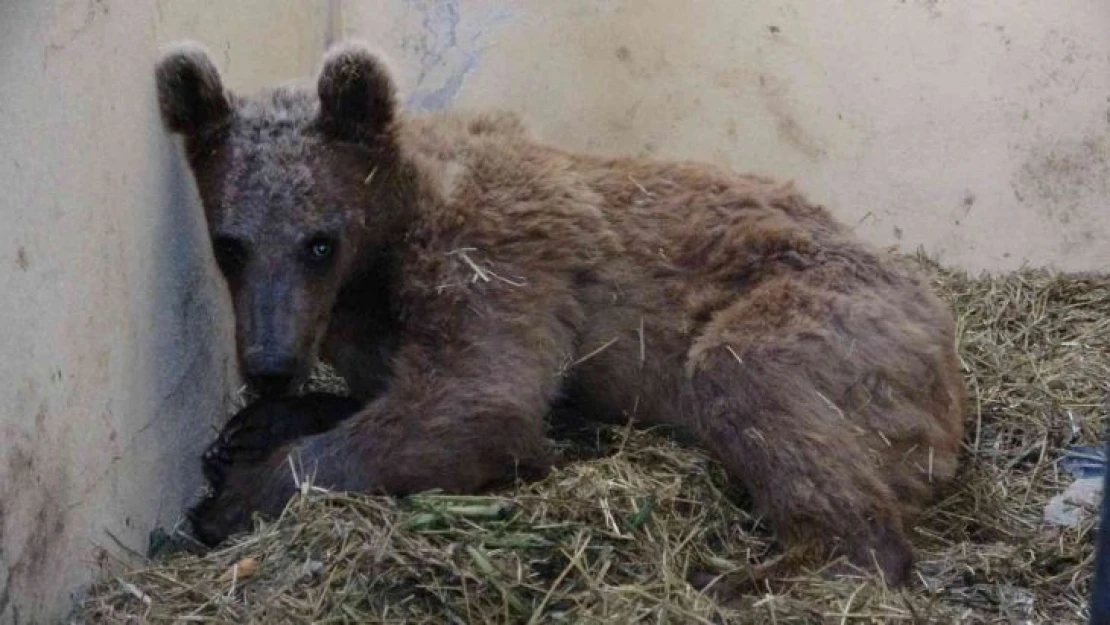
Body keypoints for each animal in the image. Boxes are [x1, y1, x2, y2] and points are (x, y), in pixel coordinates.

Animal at [154, 39, 963, 586]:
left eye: (318, 242)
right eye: (230, 245)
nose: (268, 363)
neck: (382, 253)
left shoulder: (495, 257)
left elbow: (476, 401)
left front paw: (233, 497)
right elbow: (392, 392)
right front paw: (250, 429)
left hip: (834, 312)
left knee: (754, 382)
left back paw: (759, 571)